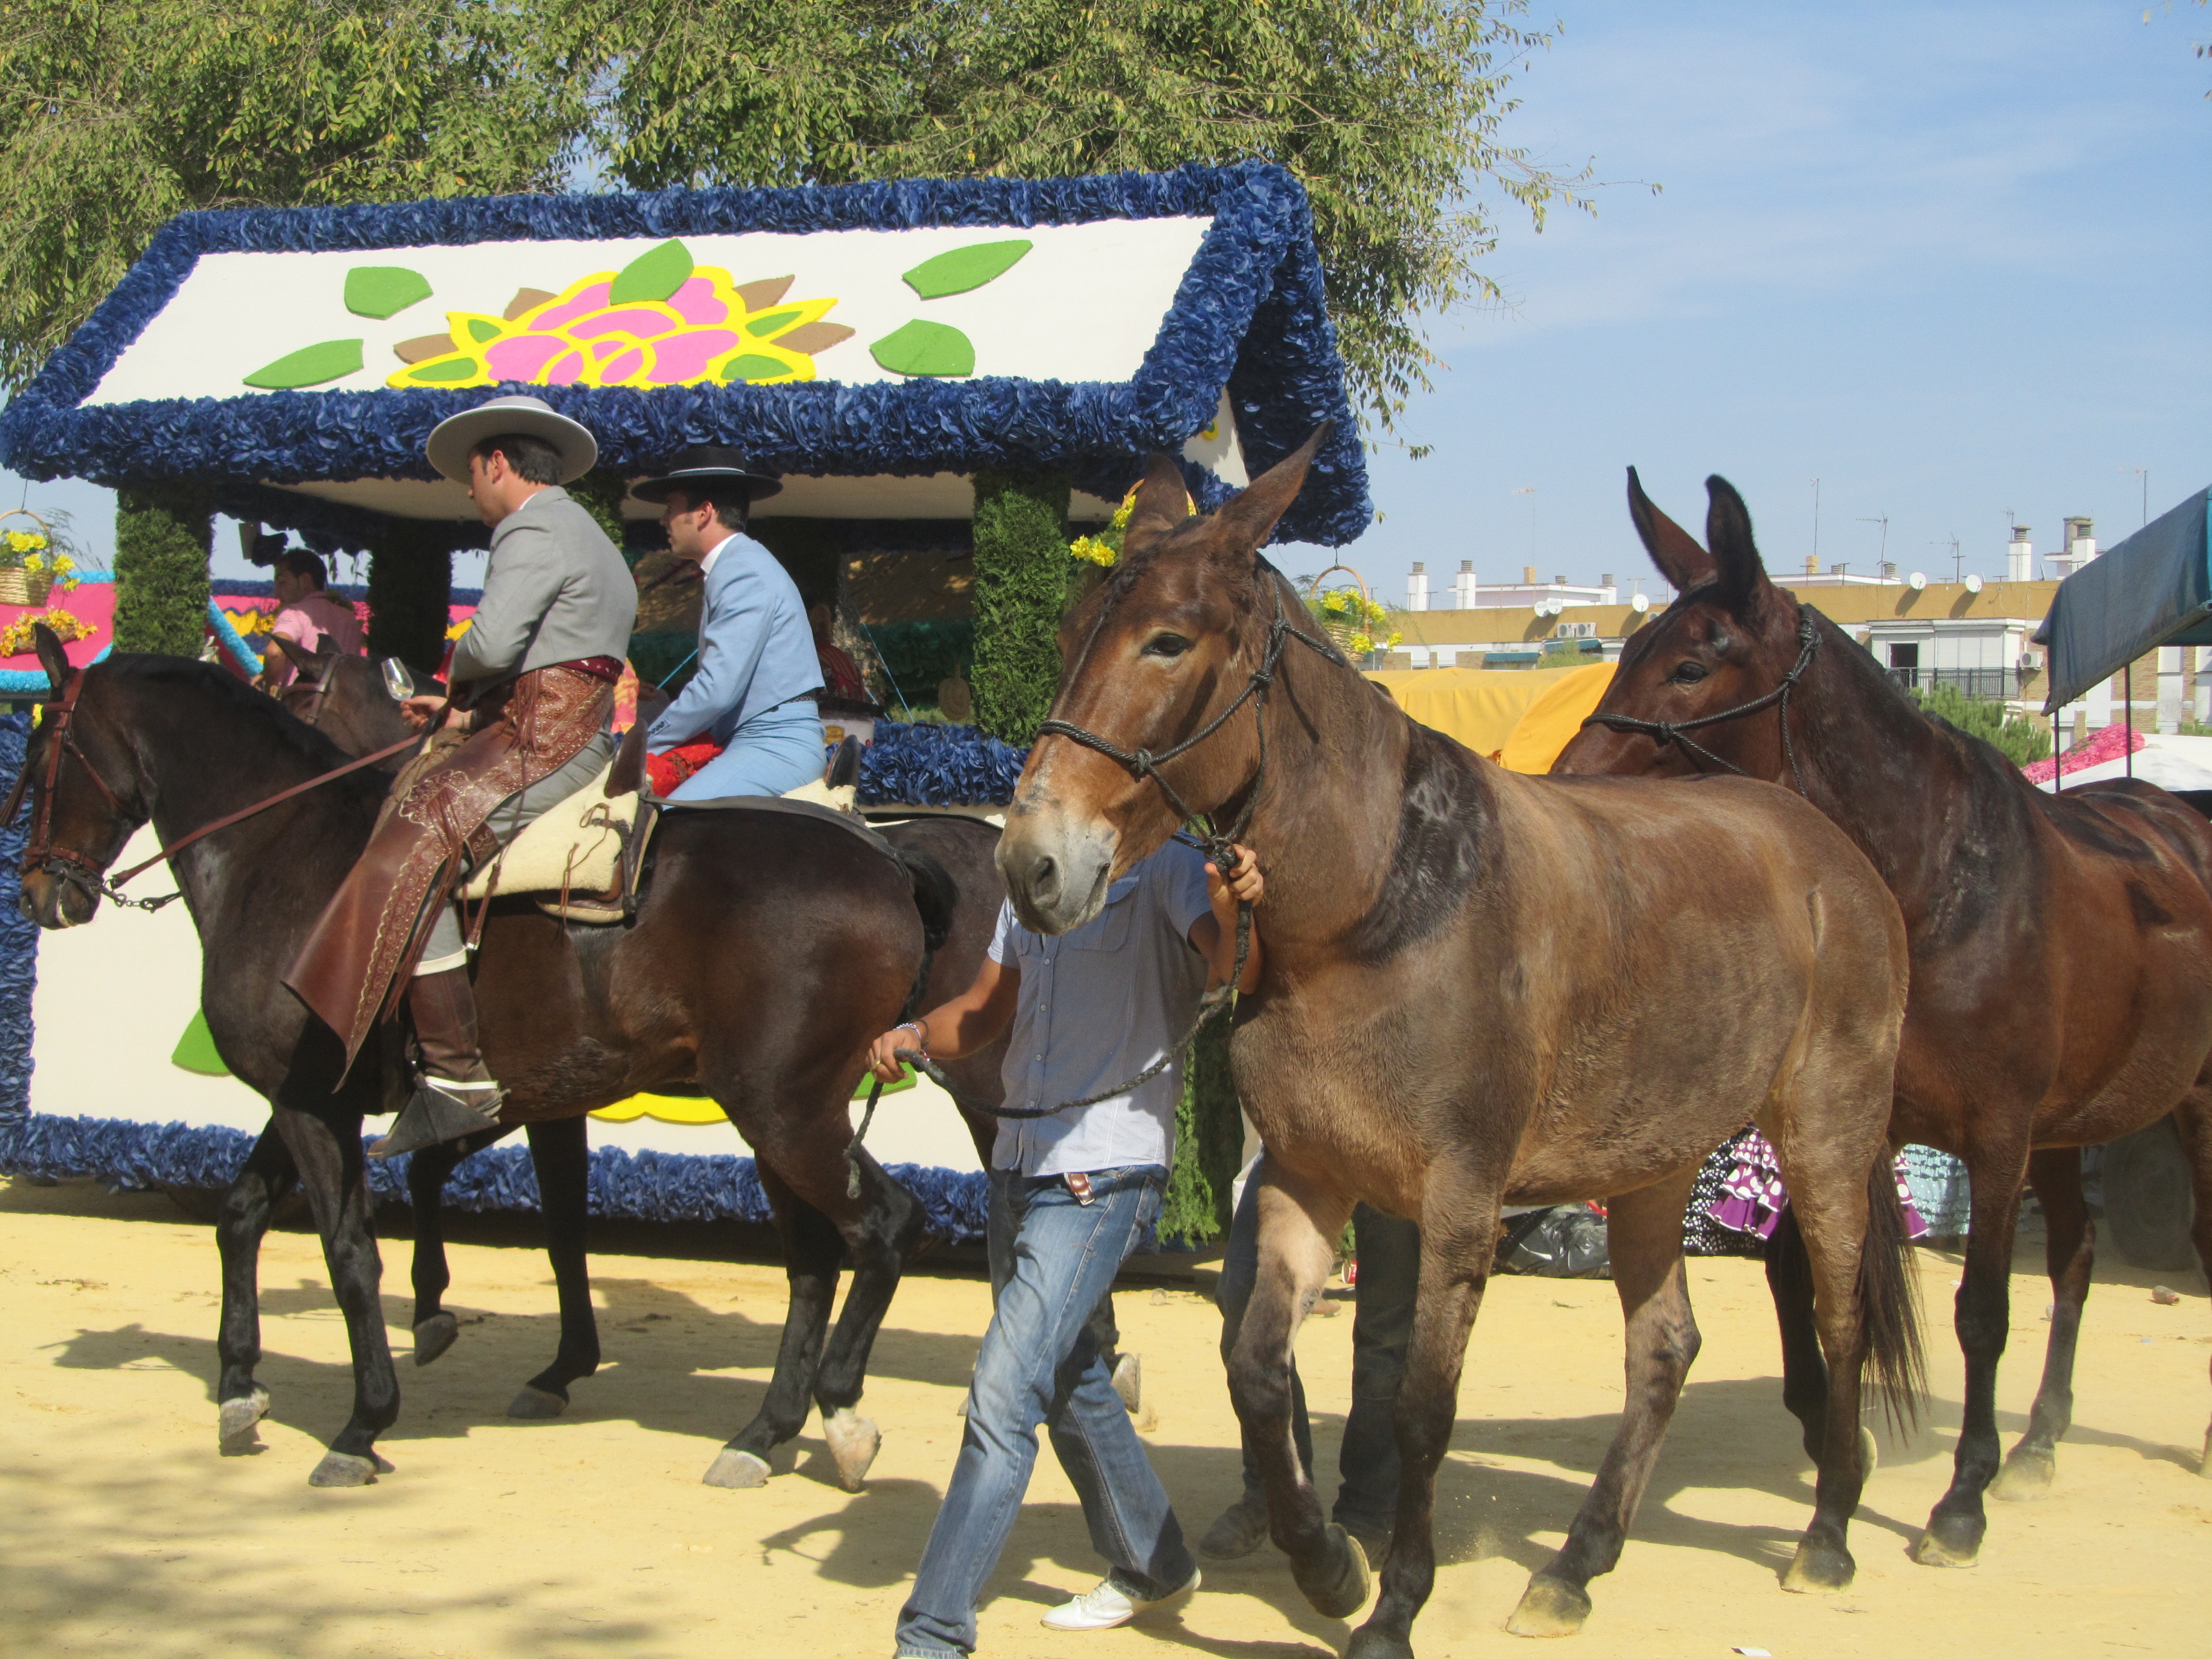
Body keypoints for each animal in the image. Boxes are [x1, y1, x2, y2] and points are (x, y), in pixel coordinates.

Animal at [13, 637, 955, 1495]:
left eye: (41, 748)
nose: (37, 893)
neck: (286, 854)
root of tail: (884, 859)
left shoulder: (317, 1102)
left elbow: (350, 1251)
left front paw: (363, 1423)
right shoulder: (323, 1094)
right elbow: (244, 1215)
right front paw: (241, 1385)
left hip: (783, 1110)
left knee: (885, 1226)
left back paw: (836, 1413)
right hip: (779, 1116)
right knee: (813, 1261)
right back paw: (764, 1432)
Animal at [991, 436, 1920, 1654]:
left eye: (1167, 640)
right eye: (1066, 635)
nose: (1034, 863)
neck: (1378, 902)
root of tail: (1831, 851)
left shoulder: (1461, 1203)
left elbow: (1420, 1409)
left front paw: (1396, 1602)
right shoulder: (1308, 1178)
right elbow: (1257, 1371)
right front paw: (1329, 1565)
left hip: (1825, 1139)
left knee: (1841, 1312)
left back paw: (1828, 1532)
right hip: (1656, 1162)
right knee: (1664, 1345)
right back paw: (1577, 1564)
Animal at [1548, 473, 2212, 1566]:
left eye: (1690, 663)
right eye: (1629, 647)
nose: (1564, 787)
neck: (1934, 892)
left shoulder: (1995, 1137)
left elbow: (1979, 1310)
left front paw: (1957, 1500)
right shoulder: (1848, 1122)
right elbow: (1802, 1276)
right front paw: (1835, 1442)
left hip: (2178, 1106)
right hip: (2069, 1127)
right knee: (2075, 1254)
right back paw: (2040, 1443)